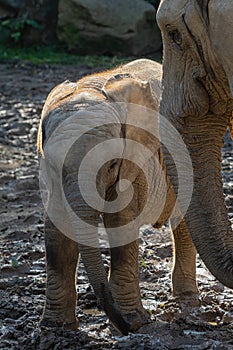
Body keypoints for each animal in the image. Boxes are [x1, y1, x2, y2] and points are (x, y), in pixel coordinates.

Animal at [37, 58, 198, 334]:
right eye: (53, 165)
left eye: (112, 164)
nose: (124, 328)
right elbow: (56, 230)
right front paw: (54, 327)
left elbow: (121, 222)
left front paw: (136, 322)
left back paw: (187, 299)